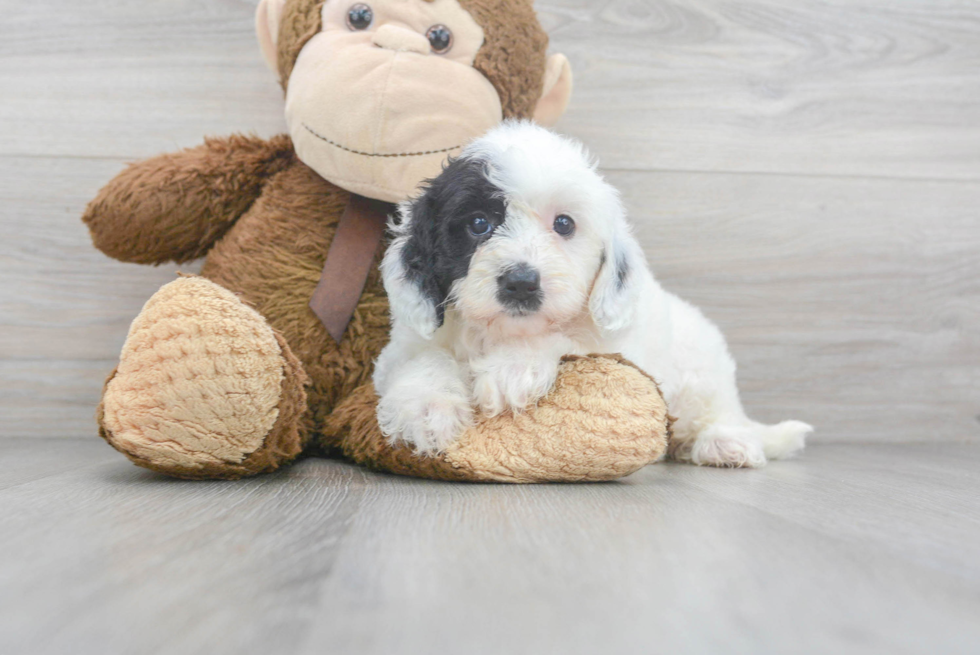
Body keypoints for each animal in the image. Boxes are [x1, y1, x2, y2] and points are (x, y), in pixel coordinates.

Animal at [372, 123, 808, 468]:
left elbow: (568, 340)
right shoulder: (405, 344)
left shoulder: (619, 350)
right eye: (479, 224)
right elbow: (425, 358)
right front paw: (427, 408)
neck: (503, 332)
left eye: (564, 224)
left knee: (718, 411)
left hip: (701, 372)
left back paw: (725, 443)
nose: (521, 282)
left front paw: (513, 368)